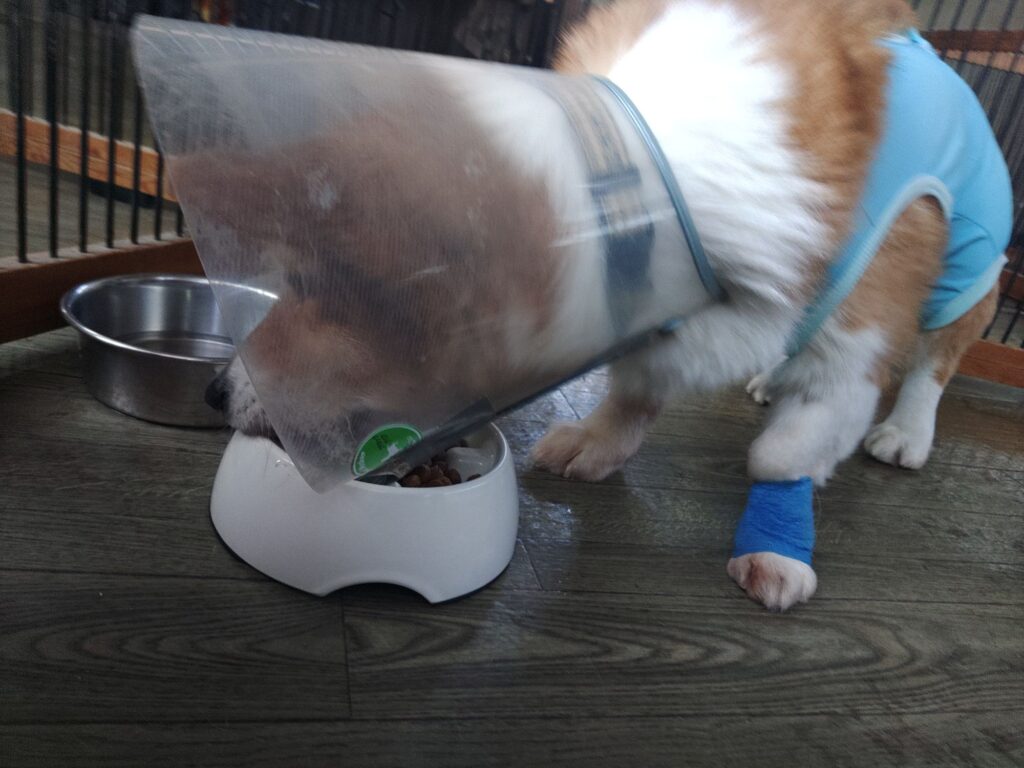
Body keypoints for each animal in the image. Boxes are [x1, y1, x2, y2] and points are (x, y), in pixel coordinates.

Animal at [196, 0, 1011, 611]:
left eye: (316, 291)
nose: (212, 392)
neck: (630, 190)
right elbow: (636, 391)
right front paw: (597, 444)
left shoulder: (850, 356)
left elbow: (782, 454)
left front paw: (777, 555)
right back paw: (763, 379)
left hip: (969, 271)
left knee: (937, 359)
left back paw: (905, 432)